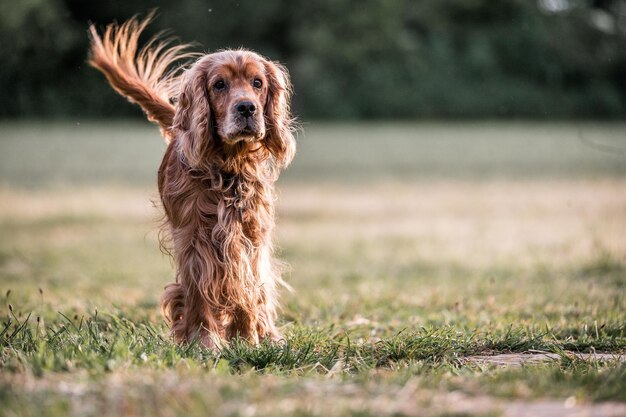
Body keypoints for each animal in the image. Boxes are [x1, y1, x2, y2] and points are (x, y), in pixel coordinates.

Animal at [88, 15, 294, 348]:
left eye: (257, 83)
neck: (227, 167)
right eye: (219, 84)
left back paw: (267, 333)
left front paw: (246, 340)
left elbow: (246, 289)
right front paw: (204, 341)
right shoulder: (194, 238)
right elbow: (199, 293)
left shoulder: (248, 235)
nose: (247, 108)